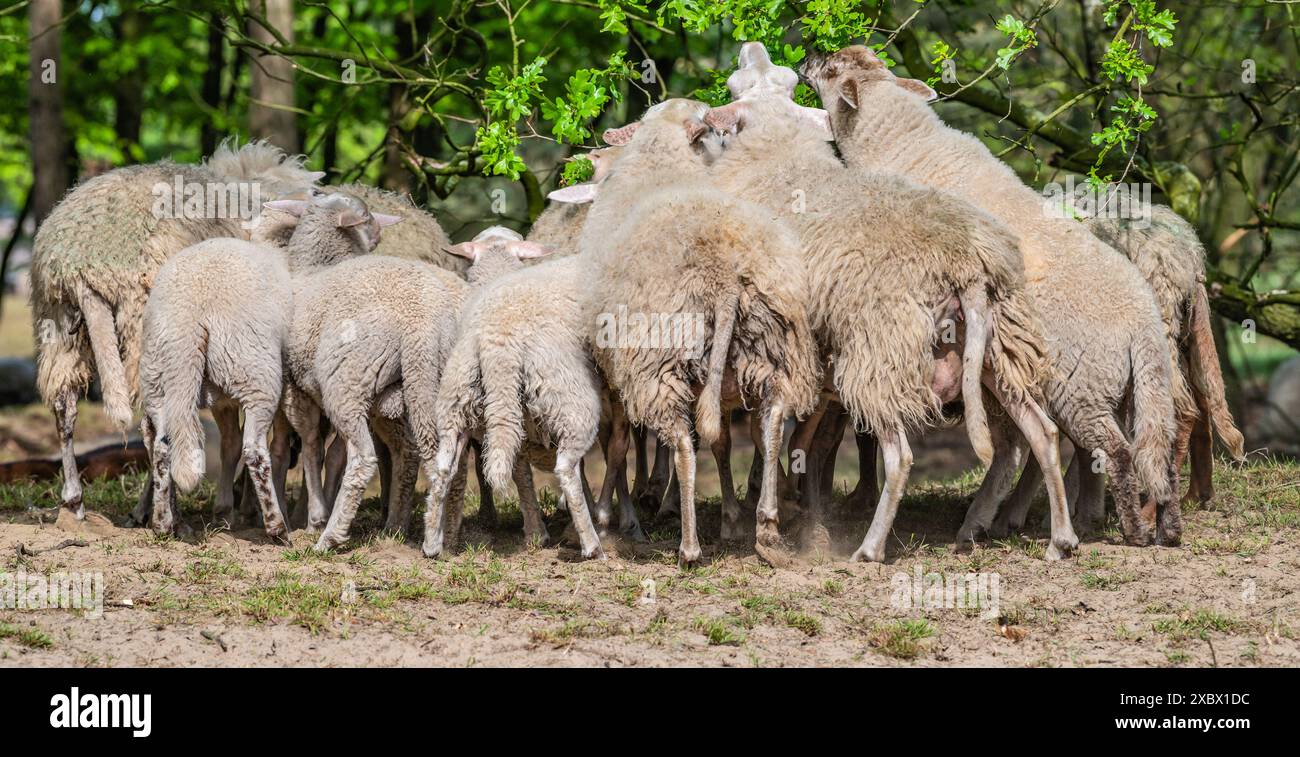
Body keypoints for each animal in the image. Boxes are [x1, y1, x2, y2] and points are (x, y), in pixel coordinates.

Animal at [30, 139, 322, 519]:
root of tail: (82, 263)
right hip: (145, 327)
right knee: (154, 425)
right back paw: (165, 514)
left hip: (58, 327)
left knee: (64, 409)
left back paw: (74, 501)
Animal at [136, 191, 399, 541]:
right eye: (365, 215)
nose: (380, 235)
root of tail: (189, 310)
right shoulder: (292, 390)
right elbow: (299, 448)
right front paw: (306, 514)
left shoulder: (226, 400)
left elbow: (235, 446)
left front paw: (230, 510)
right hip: (254, 370)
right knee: (255, 450)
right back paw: (276, 526)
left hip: (160, 376)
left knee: (163, 446)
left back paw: (165, 522)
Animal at [704, 88, 1075, 562]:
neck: (777, 156)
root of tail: (966, 263)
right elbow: (790, 435)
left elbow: (767, 428)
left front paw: (772, 521)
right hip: (1003, 349)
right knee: (1043, 433)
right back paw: (1061, 540)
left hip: (880, 354)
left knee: (900, 456)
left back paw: (869, 549)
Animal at [802, 46, 1183, 547]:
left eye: (830, 69)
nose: (806, 58)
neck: (899, 143)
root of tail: (1143, 323)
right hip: (1132, 388)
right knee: (1157, 447)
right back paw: (1163, 527)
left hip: (1074, 386)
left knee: (1104, 450)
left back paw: (1129, 531)